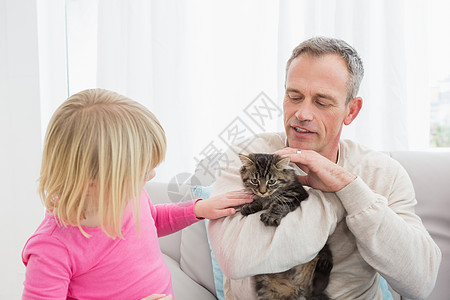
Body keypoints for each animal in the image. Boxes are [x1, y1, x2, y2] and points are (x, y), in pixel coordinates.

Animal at [241, 154, 332, 298]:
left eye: (271, 181)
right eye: (254, 180)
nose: (262, 191)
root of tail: (295, 288)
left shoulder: (296, 193)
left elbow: (280, 203)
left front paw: (271, 216)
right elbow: (259, 201)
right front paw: (250, 206)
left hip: (323, 250)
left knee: (317, 287)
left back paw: (323, 267)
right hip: (266, 285)